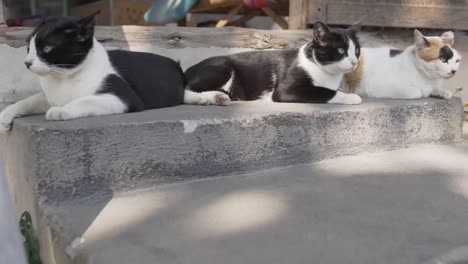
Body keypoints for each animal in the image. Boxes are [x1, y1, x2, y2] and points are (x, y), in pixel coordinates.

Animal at [183, 21, 362, 105]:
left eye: (357, 51)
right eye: (341, 51)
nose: (355, 63)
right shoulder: (285, 90)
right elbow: (325, 92)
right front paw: (352, 97)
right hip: (222, 68)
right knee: (184, 90)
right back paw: (209, 98)